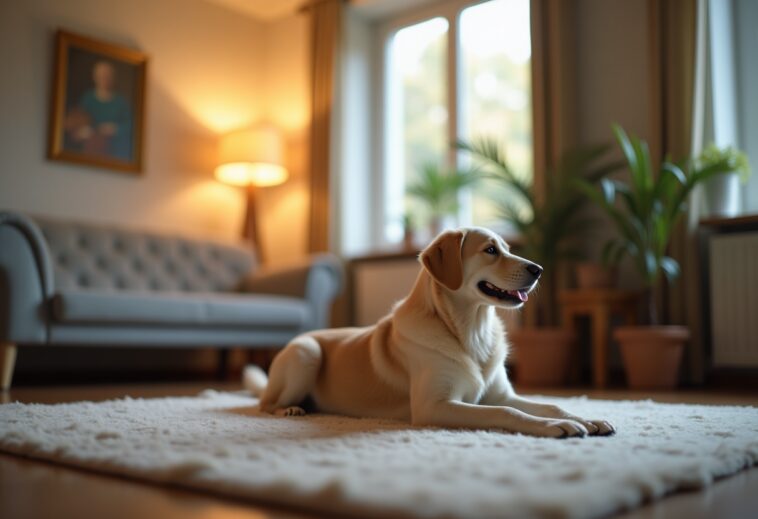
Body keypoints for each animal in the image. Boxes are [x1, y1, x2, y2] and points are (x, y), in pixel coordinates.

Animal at [249, 228, 616, 438]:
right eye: (490, 250)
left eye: (508, 248)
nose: (538, 269)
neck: (471, 330)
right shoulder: (435, 406)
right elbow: (506, 413)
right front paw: (555, 427)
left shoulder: (500, 393)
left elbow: (549, 405)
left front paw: (586, 418)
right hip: (306, 353)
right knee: (264, 404)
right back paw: (290, 409)